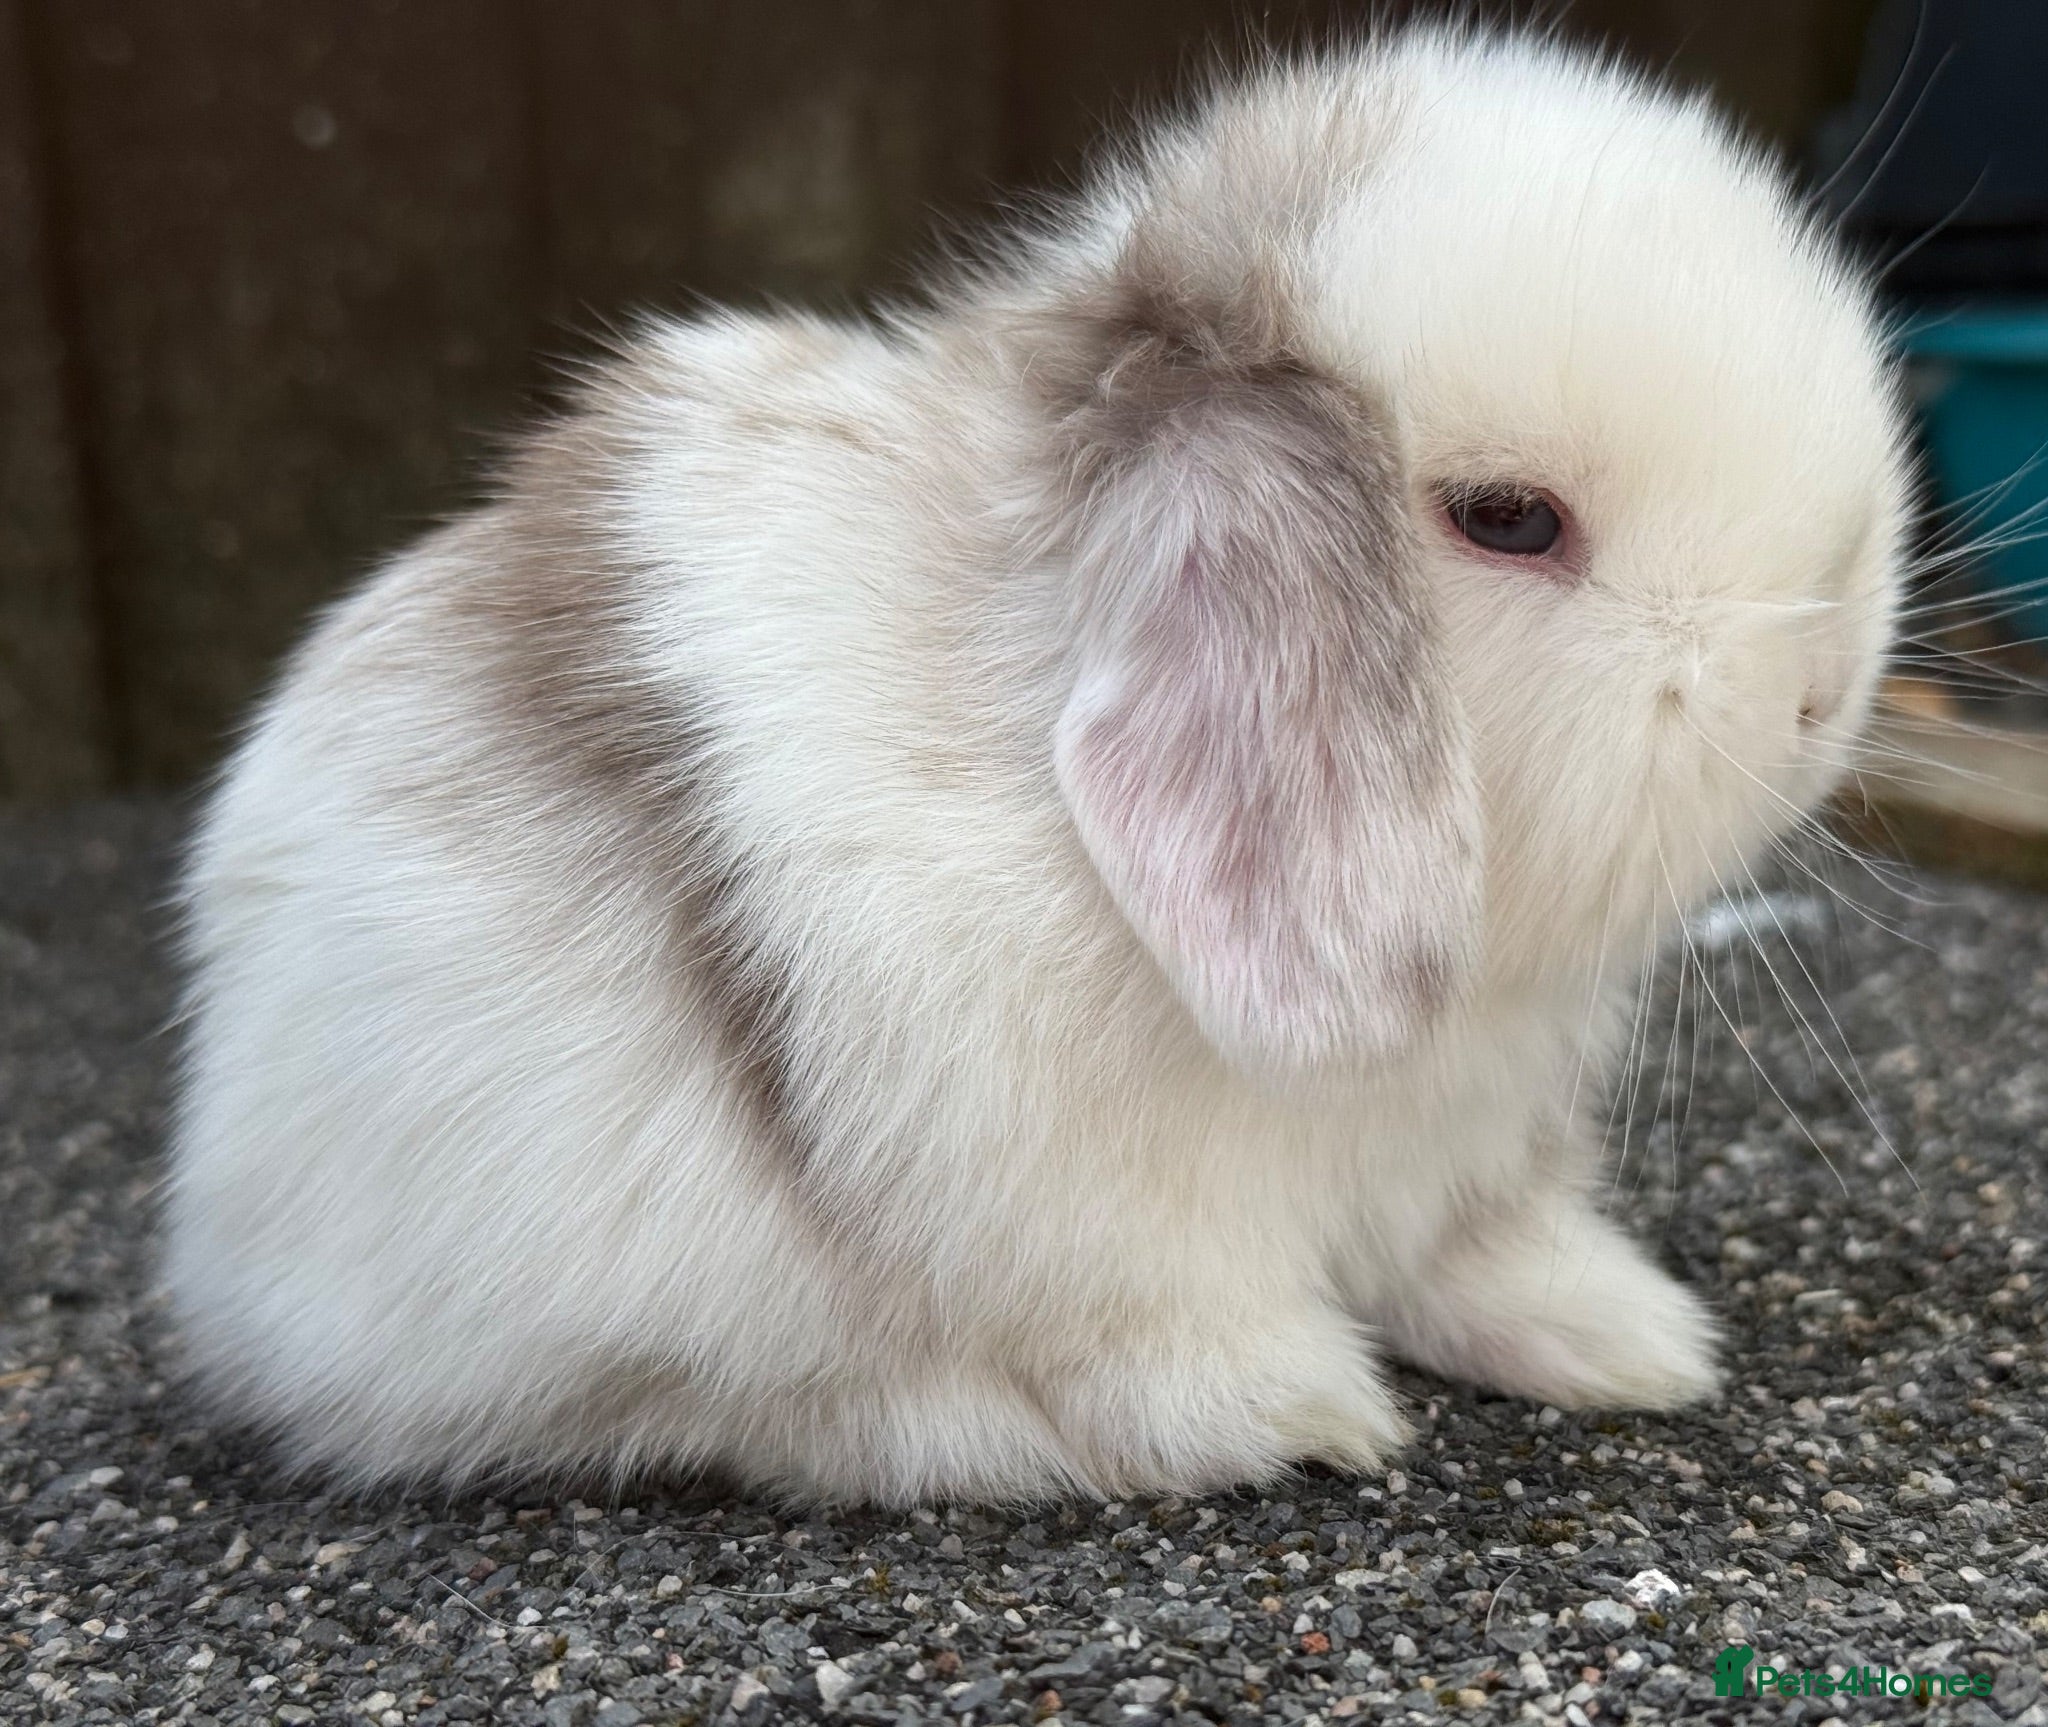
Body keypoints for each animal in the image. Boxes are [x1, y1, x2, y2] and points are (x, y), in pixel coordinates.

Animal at [166, 25, 1910, 1506]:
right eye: (1507, 519)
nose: (1822, 687)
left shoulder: (1462, 1165)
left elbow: (1486, 1258)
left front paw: (1634, 1341)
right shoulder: (1095, 1228)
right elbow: (1158, 1334)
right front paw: (1293, 1406)